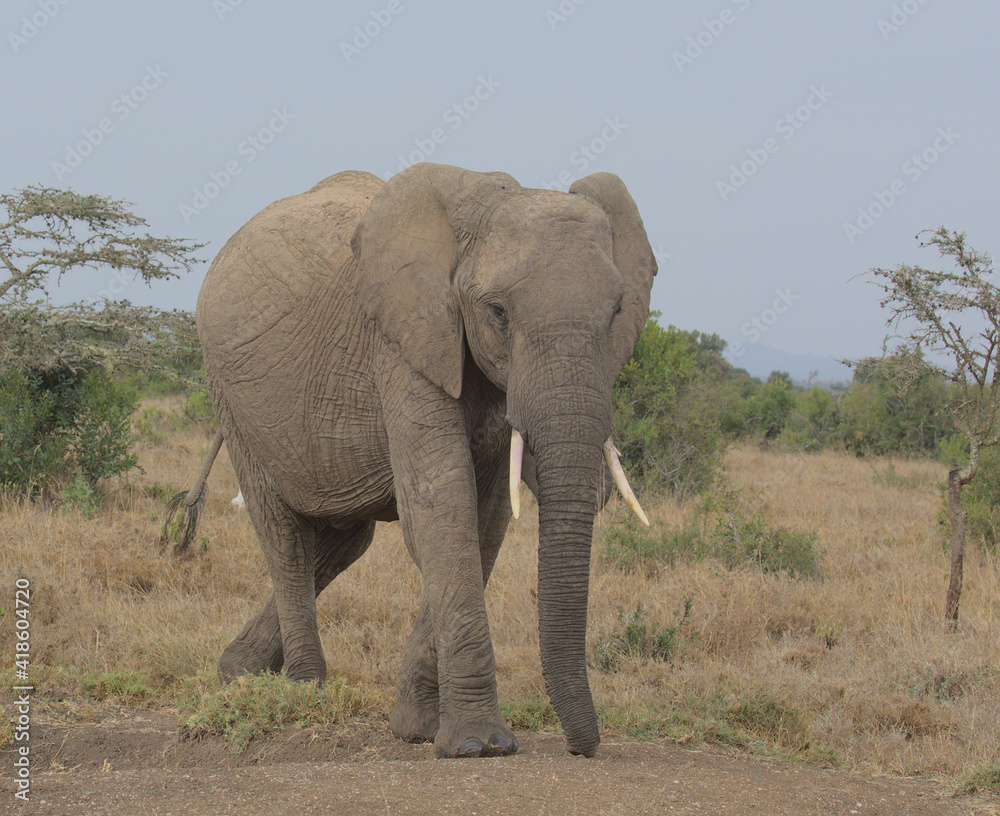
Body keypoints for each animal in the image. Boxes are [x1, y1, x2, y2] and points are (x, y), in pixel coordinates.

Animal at [165, 162, 657, 759]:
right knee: (284, 535)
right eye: (498, 312)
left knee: (342, 542)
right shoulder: (404, 341)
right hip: (230, 393)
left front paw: (417, 729)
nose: (581, 748)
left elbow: (482, 524)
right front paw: (480, 745)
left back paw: (238, 671)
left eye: (616, 313)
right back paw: (305, 689)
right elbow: (443, 512)